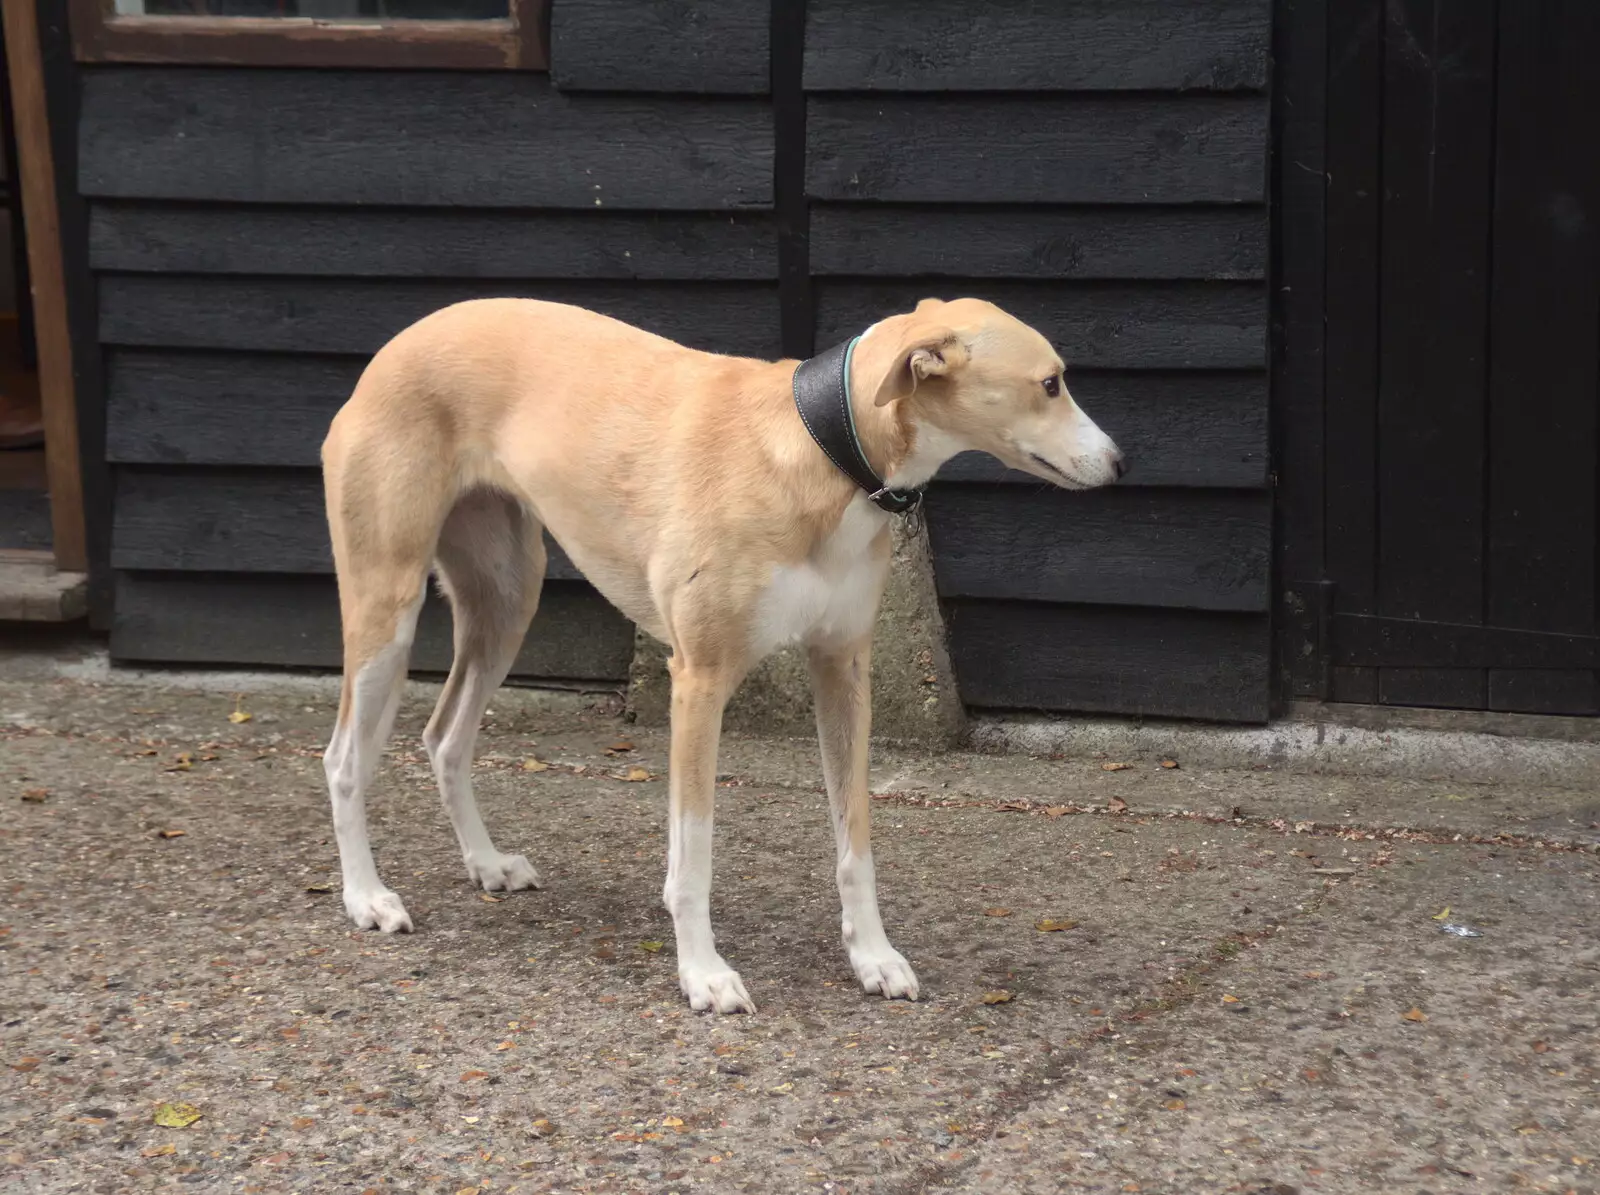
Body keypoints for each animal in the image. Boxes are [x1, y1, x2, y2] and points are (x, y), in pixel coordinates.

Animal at [318, 297, 1126, 1011]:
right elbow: (694, 858)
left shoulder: (842, 670)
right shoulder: (699, 681)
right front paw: (703, 974)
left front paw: (873, 956)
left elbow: (855, 840)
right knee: (343, 758)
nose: (1119, 464)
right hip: (385, 606)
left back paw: (485, 863)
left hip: (507, 602)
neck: (820, 447)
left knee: (444, 736)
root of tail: (393, 348)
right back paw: (367, 897)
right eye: (1051, 383)